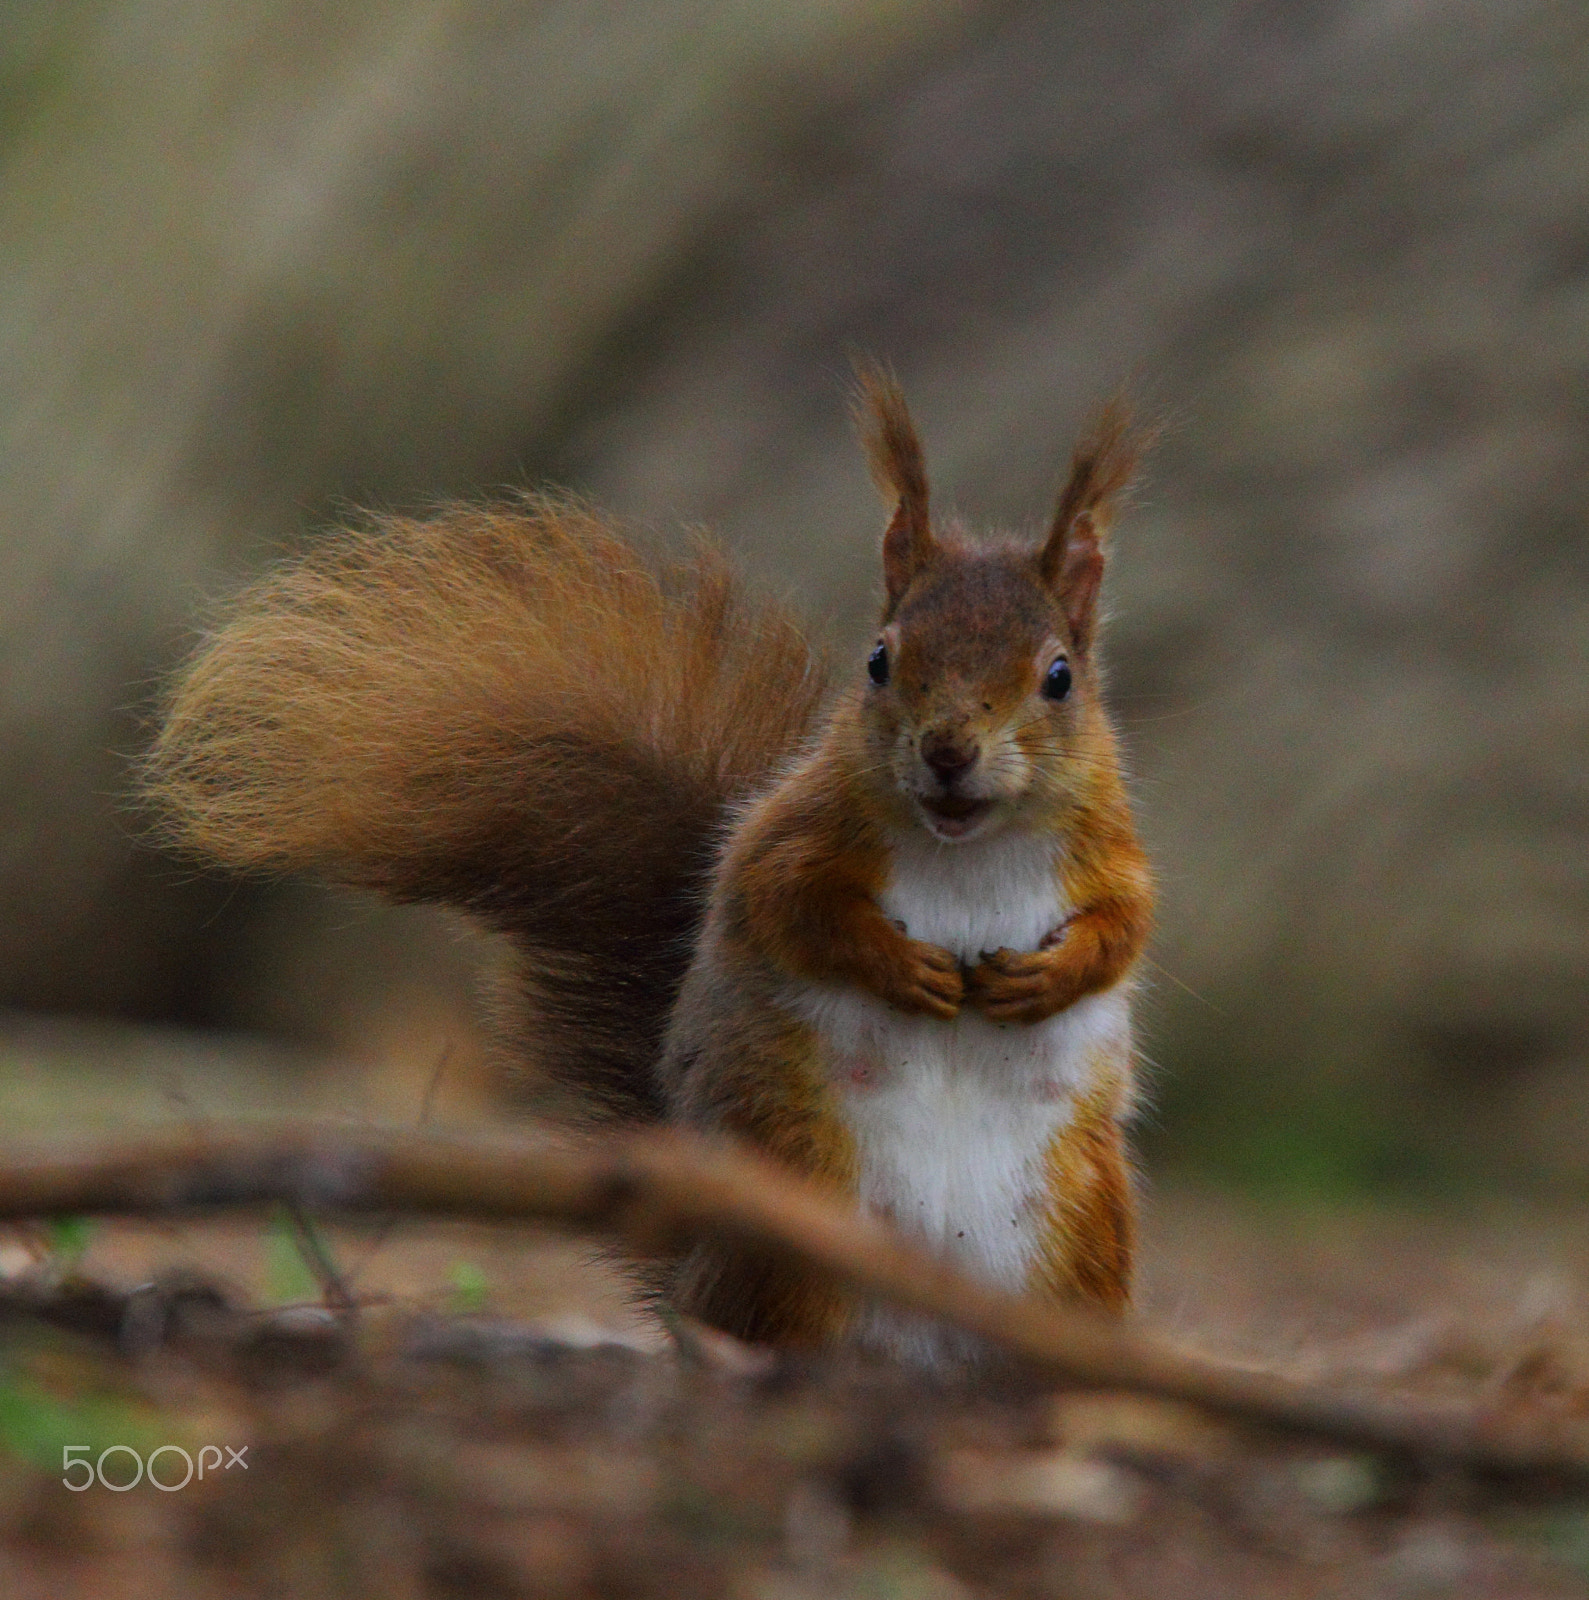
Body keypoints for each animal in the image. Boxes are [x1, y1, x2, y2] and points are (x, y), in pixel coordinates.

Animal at [142, 371, 1145, 1363]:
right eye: (878, 660)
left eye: (1059, 676)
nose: (945, 752)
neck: (966, 847)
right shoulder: (792, 835)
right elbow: (787, 908)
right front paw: (901, 967)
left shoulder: (1110, 850)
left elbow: (1122, 930)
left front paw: (1047, 977)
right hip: (788, 1220)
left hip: (1075, 1244)